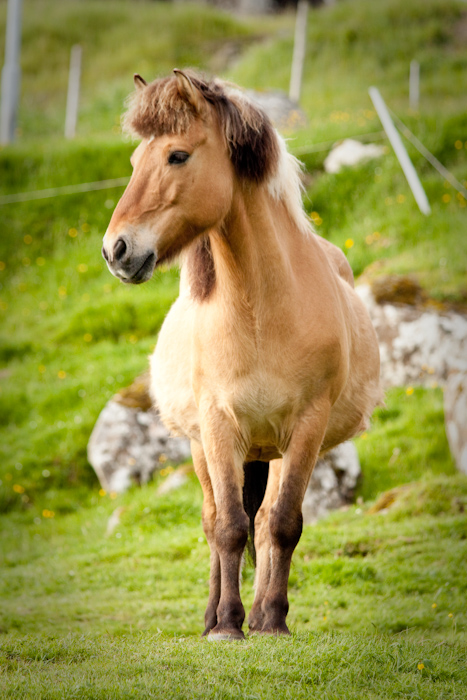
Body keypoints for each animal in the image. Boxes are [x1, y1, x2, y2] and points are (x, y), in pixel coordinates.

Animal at [102, 69, 382, 640]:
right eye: (135, 161)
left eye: (177, 156)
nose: (115, 250)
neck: (260, 312)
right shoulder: (217, 425)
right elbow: (229, 527)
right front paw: (227, 627)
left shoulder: (308, 427)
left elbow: (282, 524)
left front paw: (271, 621)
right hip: (204, 449)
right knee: (215, 521)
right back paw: (214, 615)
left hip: (271, 450)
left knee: (266, 518)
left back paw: (257, 612)